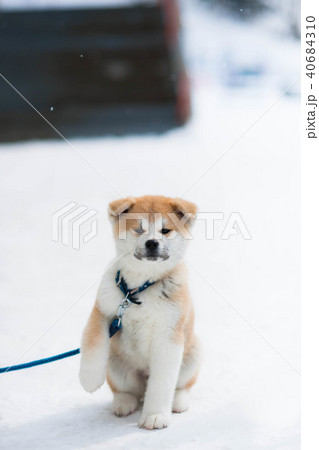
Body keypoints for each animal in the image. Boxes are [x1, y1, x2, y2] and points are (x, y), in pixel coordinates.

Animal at [79, 195, 201, 430]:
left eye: (165, 230)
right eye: (138, 229)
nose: (152, 243)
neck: (139, 289)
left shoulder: (168, 334)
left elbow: (162, 383)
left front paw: (155, 416)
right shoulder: (104, 310)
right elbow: (93, 342)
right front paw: (89, 379)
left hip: (192, 356)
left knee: (182, 386)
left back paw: (178, 401)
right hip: (116, 365)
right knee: (128, 391)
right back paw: (123, 403)